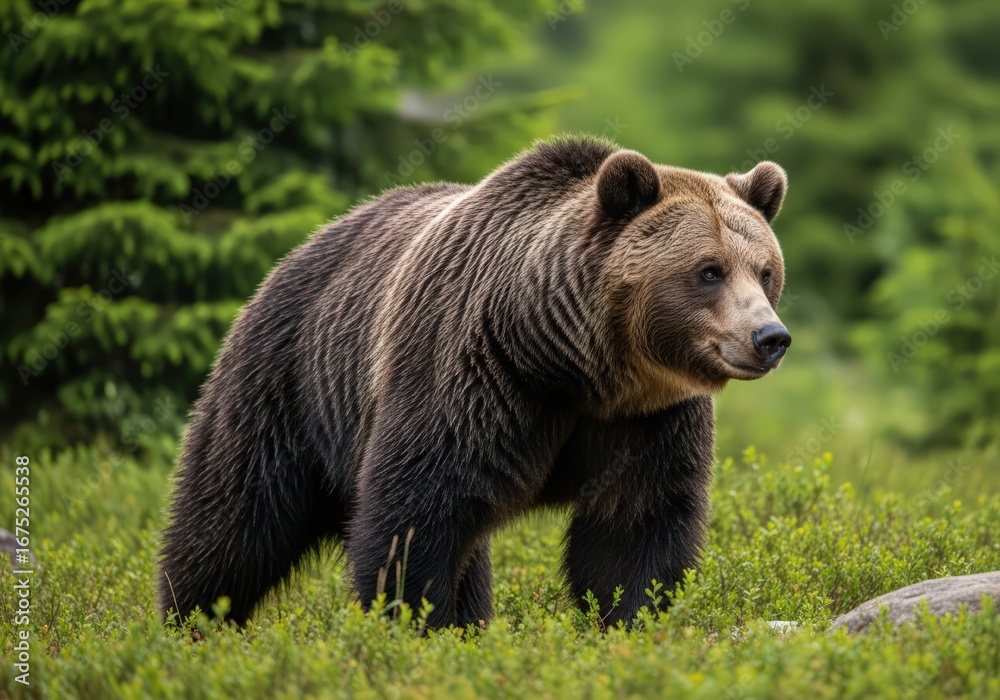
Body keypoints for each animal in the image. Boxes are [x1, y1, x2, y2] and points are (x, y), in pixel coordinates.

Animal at [158, 136, 790, 630]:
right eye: (708, 270)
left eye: (764, 271)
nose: (769, 337)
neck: (577, 364)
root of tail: (299, 250)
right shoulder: (474, 378)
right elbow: (416, 516)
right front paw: (415, 626)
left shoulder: (648, 418)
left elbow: (635, 527)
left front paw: (632, 621)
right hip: (288, 381)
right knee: (234, 519)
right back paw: (191, 621)